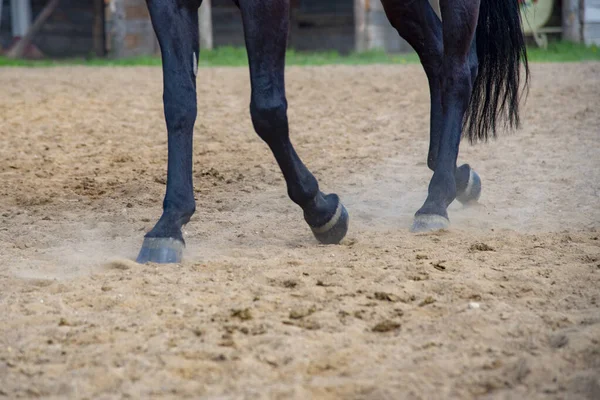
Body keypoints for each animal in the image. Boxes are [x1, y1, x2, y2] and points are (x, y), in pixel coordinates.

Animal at [137, 0, 528, 264]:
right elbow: (179, 102)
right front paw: (168, 226)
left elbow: (266, 110)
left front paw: (322, 211)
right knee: (437, 57)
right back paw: (456, 177)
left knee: (457, 71)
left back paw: (435, 202)